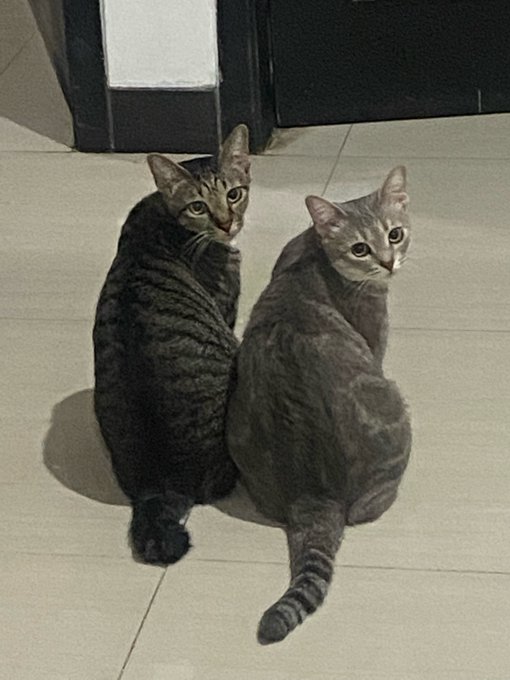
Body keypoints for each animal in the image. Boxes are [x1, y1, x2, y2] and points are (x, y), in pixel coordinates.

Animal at [227, 166, 412, 644]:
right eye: (360, 248)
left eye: (396, 233)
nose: (388, 262)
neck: (314, 249)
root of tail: (315, 494)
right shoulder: (376, 339)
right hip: (396, 406)